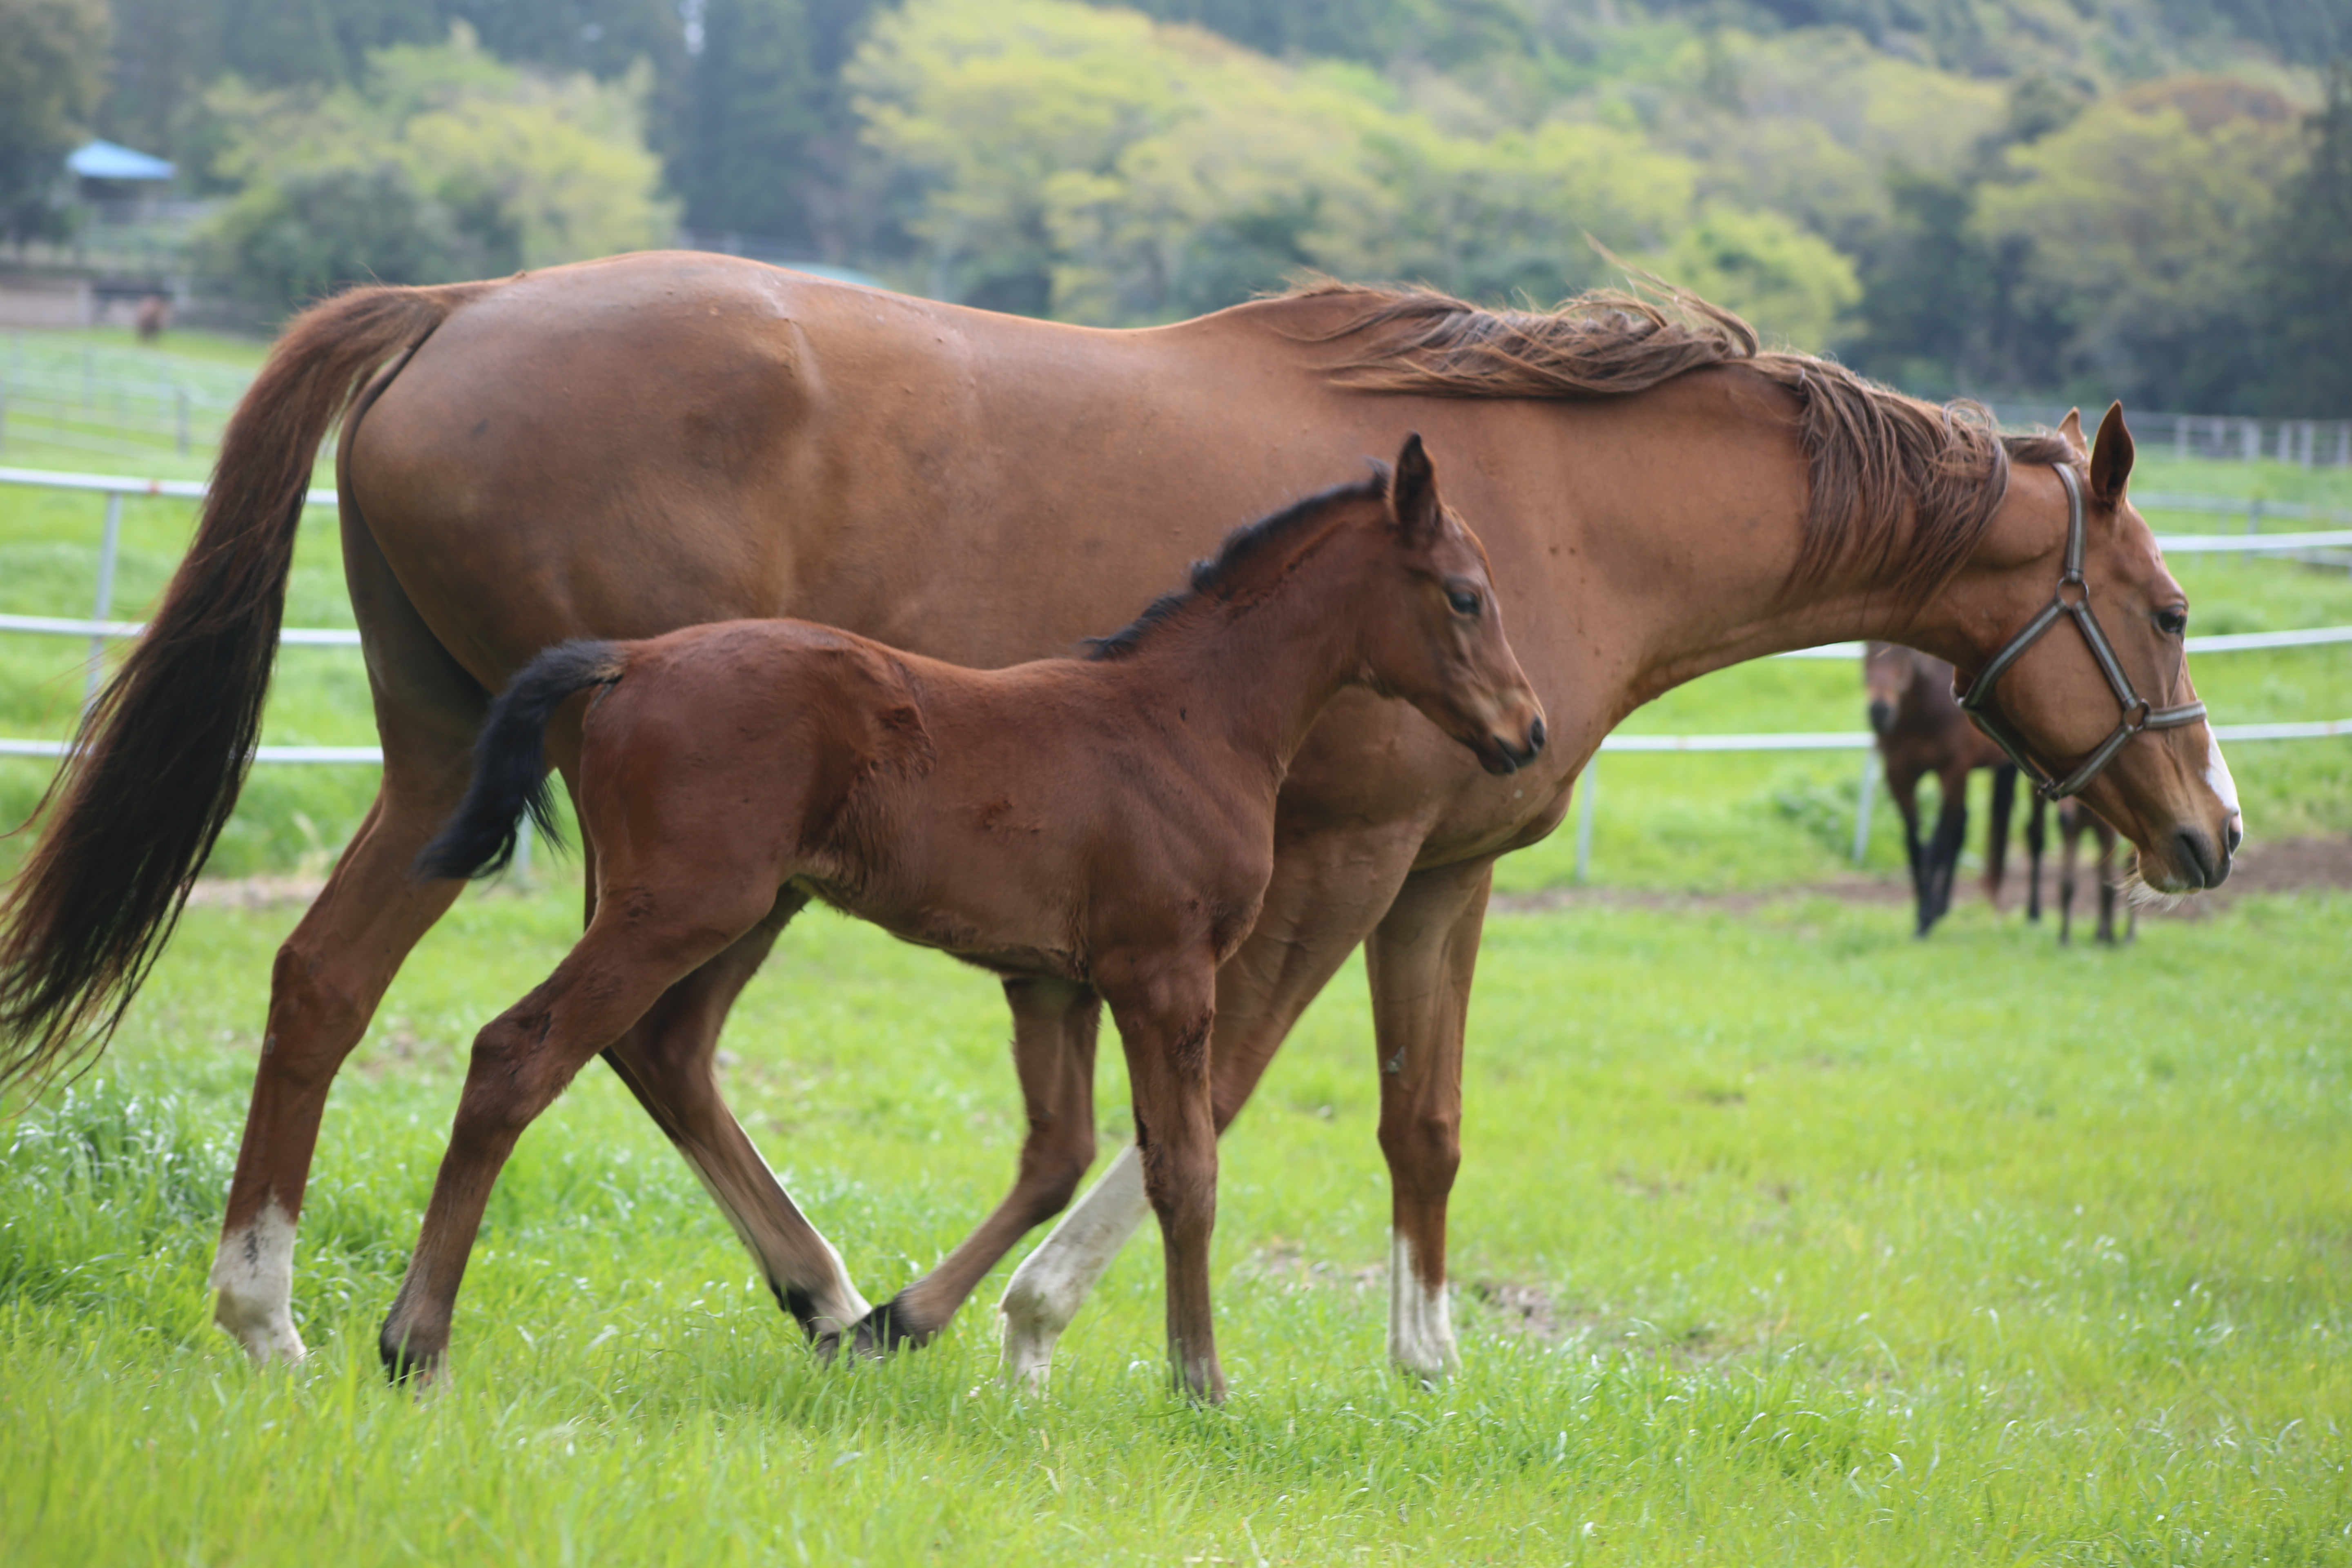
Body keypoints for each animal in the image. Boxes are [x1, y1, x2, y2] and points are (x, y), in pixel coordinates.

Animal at [390, 439, 1543, 1401]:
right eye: (1465, 596)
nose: (1526, 732)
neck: (1188, 723)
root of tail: (630, 658)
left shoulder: (1053, 981)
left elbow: (1059, 1155)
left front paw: (898, 1325)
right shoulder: (1164, 972)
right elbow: (1185, 1169)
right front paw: (1199, 1382)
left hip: (706, 905)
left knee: (643, 1050)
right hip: (682, 907)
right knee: (519, 1052)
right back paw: (416, 1345)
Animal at [1872, 648, 2022, 940]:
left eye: (1904, 654)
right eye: (1865, 651)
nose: (1879, 712)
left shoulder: (1952, 770)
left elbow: (1940, 841)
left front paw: (1927, 914)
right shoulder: (1899, 777)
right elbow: (1915, 844)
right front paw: (1924, 913)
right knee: (1962, 825)